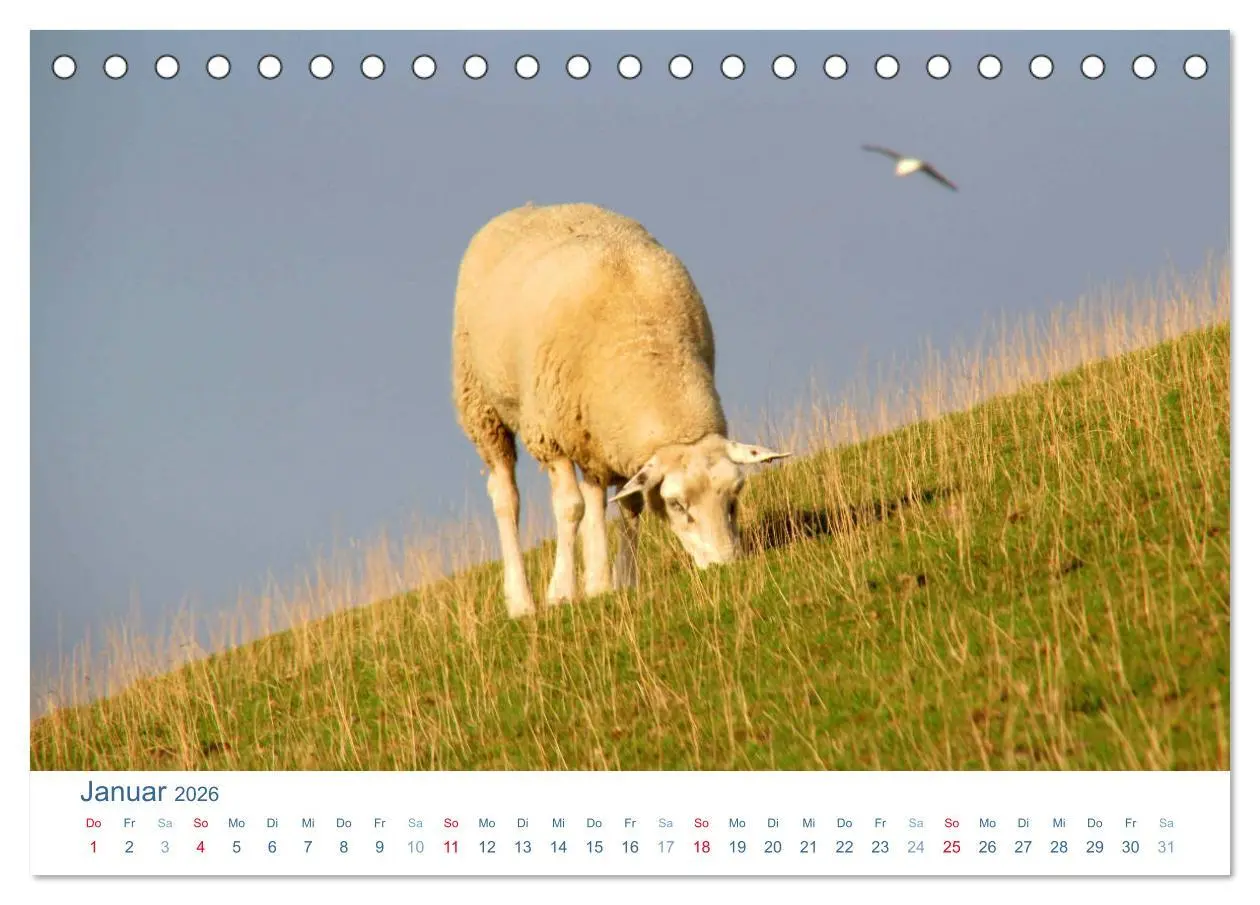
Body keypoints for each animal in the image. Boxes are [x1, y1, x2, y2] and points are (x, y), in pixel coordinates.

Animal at [451, 202, 790, 618]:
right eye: (677, 504)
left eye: (734, 498)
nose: (725, 566)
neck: (645, 340)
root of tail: (530, 206)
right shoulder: (549, 433)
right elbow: (570, 508)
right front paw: (560, 592)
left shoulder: (620, 445)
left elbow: (629, 505)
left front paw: (621, 580)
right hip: (481, 403)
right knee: (506, 497)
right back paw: (522, 601)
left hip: (591, 431)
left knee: (595, 493)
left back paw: (597, 580)